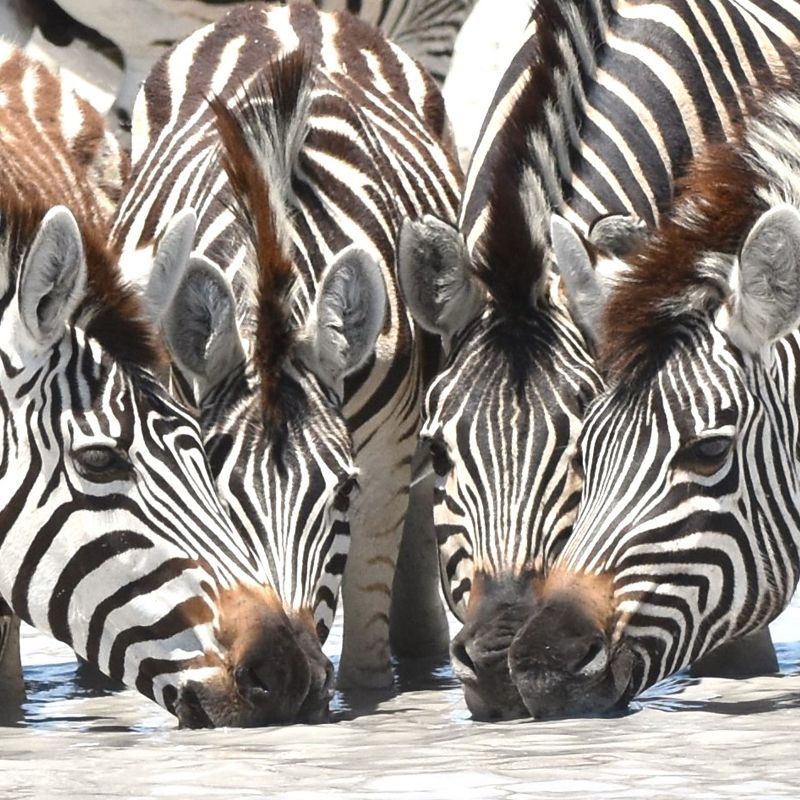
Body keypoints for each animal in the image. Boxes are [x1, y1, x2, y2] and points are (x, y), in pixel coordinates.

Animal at [112, 3, 462, 689]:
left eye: (342, 493)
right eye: (216, 493)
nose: (289, 671)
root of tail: (279, 11)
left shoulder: (383, 464)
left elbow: (364, 647)